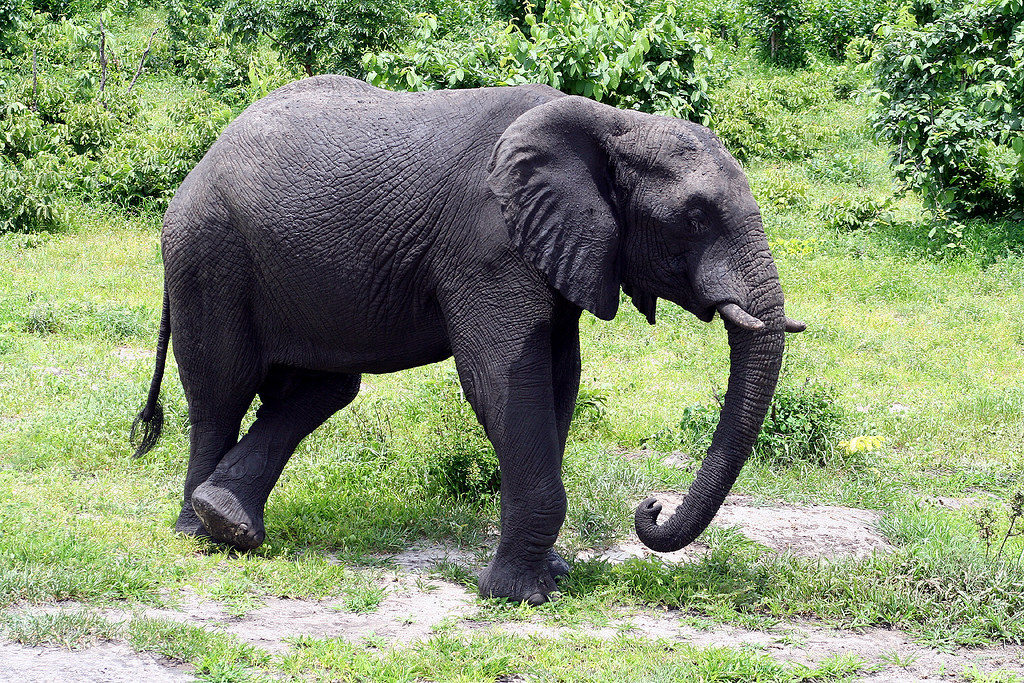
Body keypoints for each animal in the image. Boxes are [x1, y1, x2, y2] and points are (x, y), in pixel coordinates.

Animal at [130, 75, 805, 604]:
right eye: (693, 219)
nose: (651, 509)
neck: (612, 123)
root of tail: (201, 160)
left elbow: (559, 379)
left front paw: (552, 573)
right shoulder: (489, 245)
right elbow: (503, 379)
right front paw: (520, 596)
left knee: (321, 388)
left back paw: (227, 521)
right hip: (210, 252)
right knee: (222, 389)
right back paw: (201, 532)